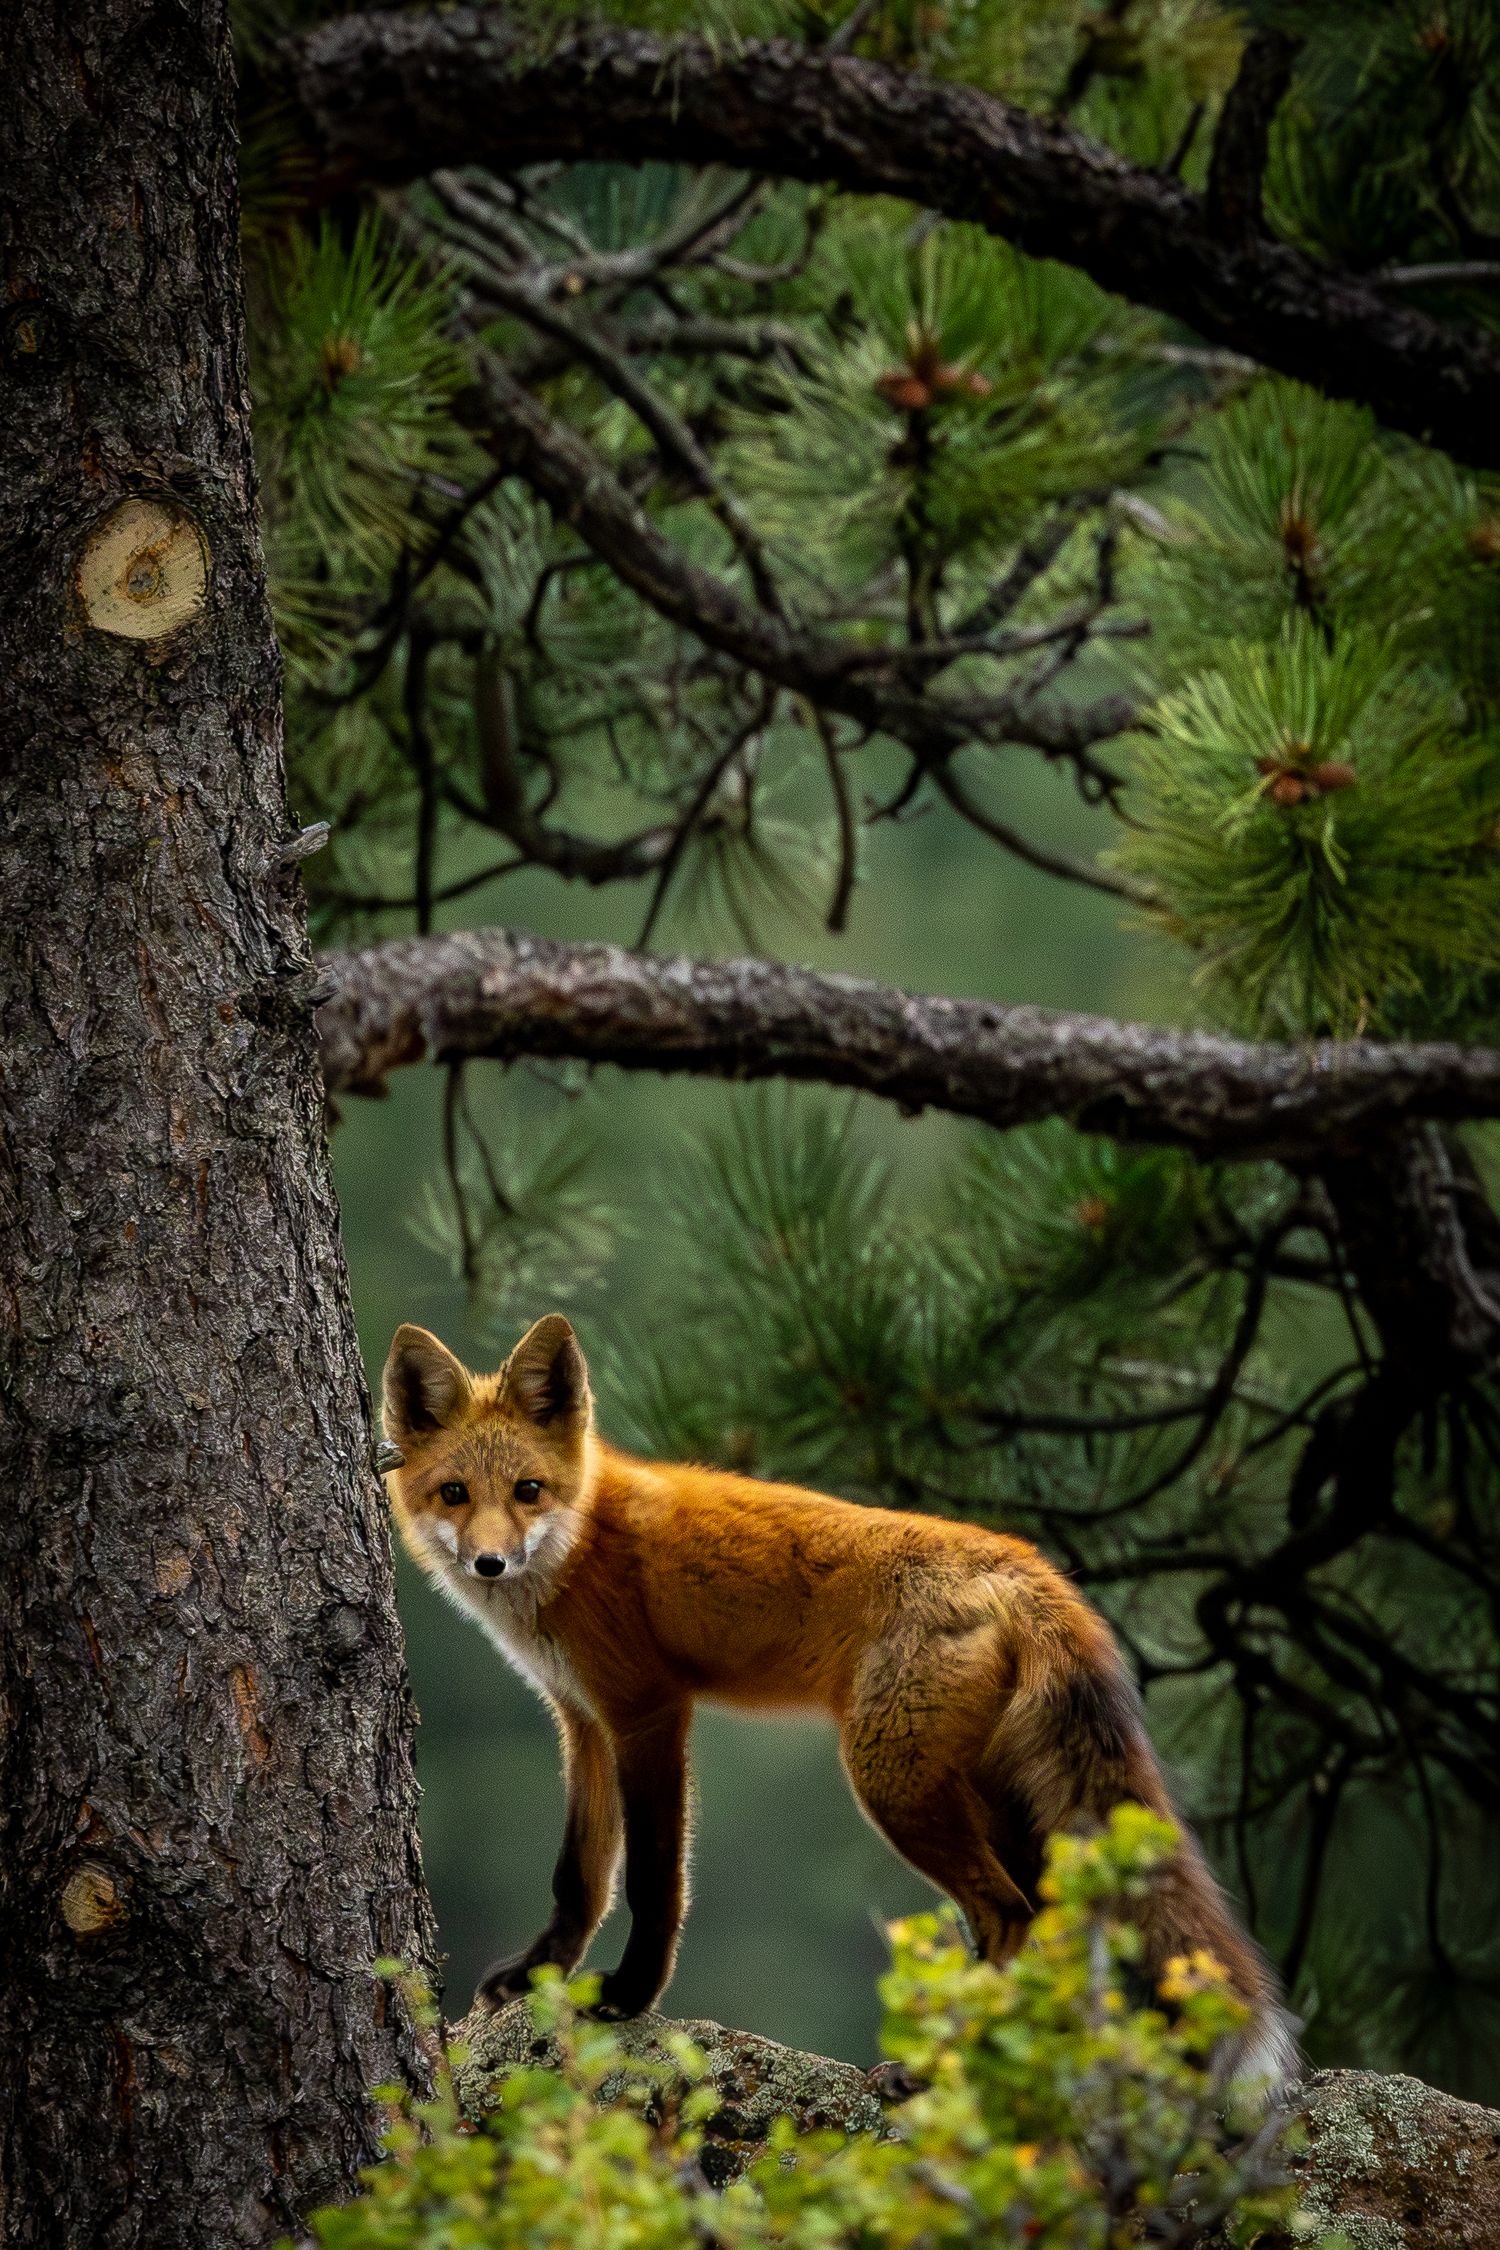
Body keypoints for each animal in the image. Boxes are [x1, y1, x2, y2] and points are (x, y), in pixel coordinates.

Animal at [380, 1313, 1297, 2088]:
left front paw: (629, 1999)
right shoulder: (582, 1720)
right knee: (1055, 1919)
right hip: (993, 1795)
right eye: (455, 1493)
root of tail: (1024, 1562)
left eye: (528, 1490)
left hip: (893, 1781)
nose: (489, 1563)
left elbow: (650, 1879)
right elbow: (579, 1876)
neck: (577, 1545)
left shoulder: (648, 1709)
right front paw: (541, 1974)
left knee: (1010, 1914)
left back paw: (941, 2068)